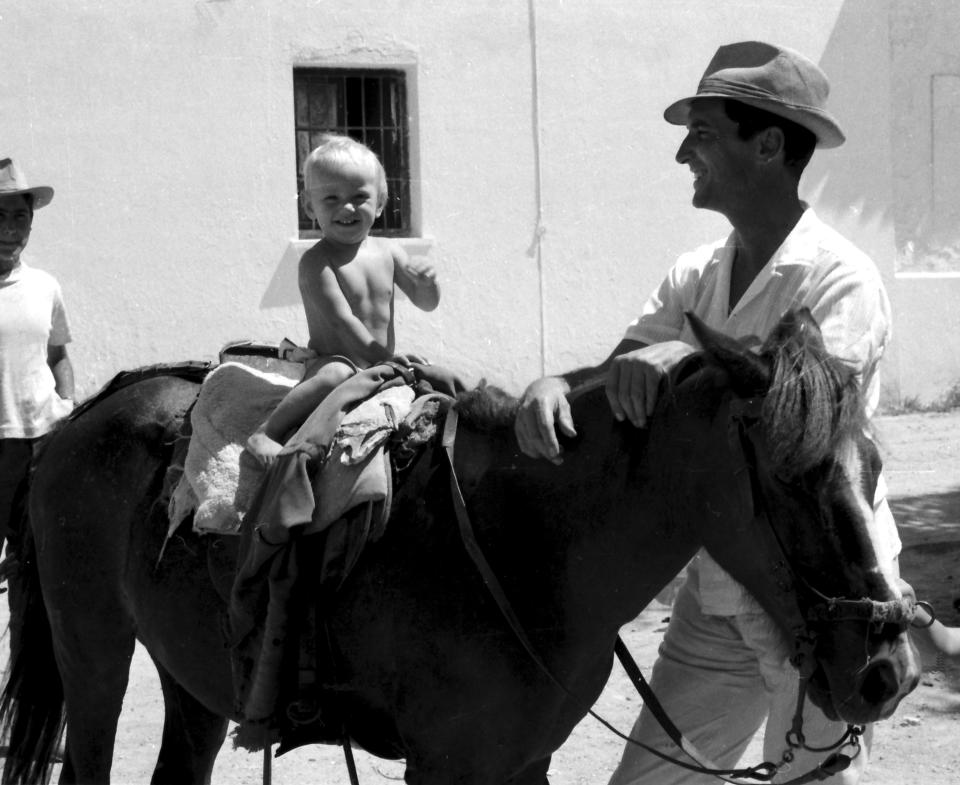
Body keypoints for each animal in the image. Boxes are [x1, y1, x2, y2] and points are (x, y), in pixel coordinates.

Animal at [0, 312, 920, 784]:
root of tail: (81, 419)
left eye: (875, 466)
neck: (530, 549)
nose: (888, 670)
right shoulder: (444, 769)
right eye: (792, 475)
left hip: (192, 677)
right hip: (93, 654)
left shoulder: (523, 763)